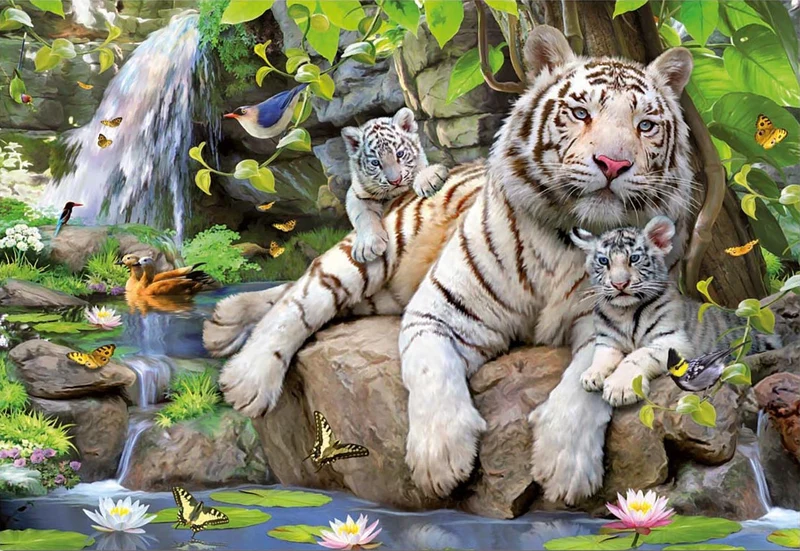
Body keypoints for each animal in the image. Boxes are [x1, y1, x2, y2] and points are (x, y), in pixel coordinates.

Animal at [343, 108, 449, 263]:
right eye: (375, 163)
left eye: (400, 154)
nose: (395, 181)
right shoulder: (356, 194)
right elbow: (363, 215)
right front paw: (368, 246)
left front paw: (428, 179)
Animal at [572, 216, 781, 401]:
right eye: (604, 261)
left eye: (634, 258)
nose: (619, 284)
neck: (624, 312)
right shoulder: (607, 340)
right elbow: (602, 356)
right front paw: (591, 375)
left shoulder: (672, 340)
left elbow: (636, 356)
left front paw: (619, 389)